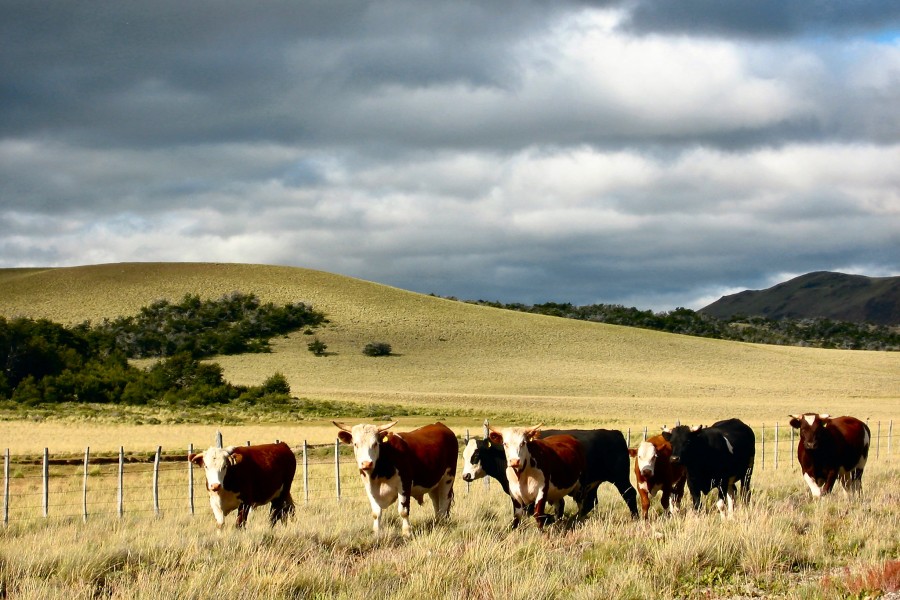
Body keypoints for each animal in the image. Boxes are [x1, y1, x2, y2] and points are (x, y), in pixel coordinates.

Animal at [464, 426, 640, 520]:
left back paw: (635, 517)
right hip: (591, 484)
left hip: (620, 478)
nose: (465, 476)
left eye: (476, 455)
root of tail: (614, 433)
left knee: (630, 494)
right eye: (464, 455)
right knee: (589, 503)